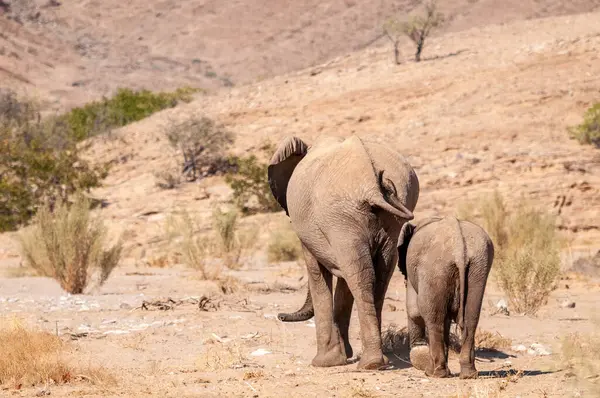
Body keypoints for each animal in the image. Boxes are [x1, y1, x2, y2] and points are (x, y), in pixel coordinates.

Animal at [268, 134, 418, 370]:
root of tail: (371, 184)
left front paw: (324, 362)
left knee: (360, 276)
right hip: (386, 215)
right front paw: (343, 356)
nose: (281, 316)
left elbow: (317, 274)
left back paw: (369, 364)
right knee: (374, 274)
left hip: (341, 216)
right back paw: (376, 362)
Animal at [396, 216, 494, 378]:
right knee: (471, 318)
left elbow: (414, 310)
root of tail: (459, 250)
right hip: (478, 267)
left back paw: (435, 373)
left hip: (434, 269)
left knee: (434, 319)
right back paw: (468, 374)